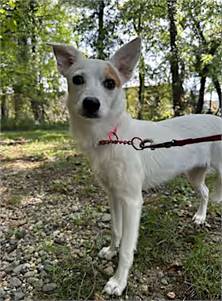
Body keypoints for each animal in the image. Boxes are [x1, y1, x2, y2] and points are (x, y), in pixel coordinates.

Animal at [50, 38, 222, 296]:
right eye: (77, 79)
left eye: (110, 83)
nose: (91, 103)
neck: (110, 137)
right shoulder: (113, 195)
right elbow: (116, 230)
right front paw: (110, 251)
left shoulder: (132, 201)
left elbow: (126, 249)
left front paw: (118, 281)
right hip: (194, 175)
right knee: (206, 192)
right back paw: (200, 217)